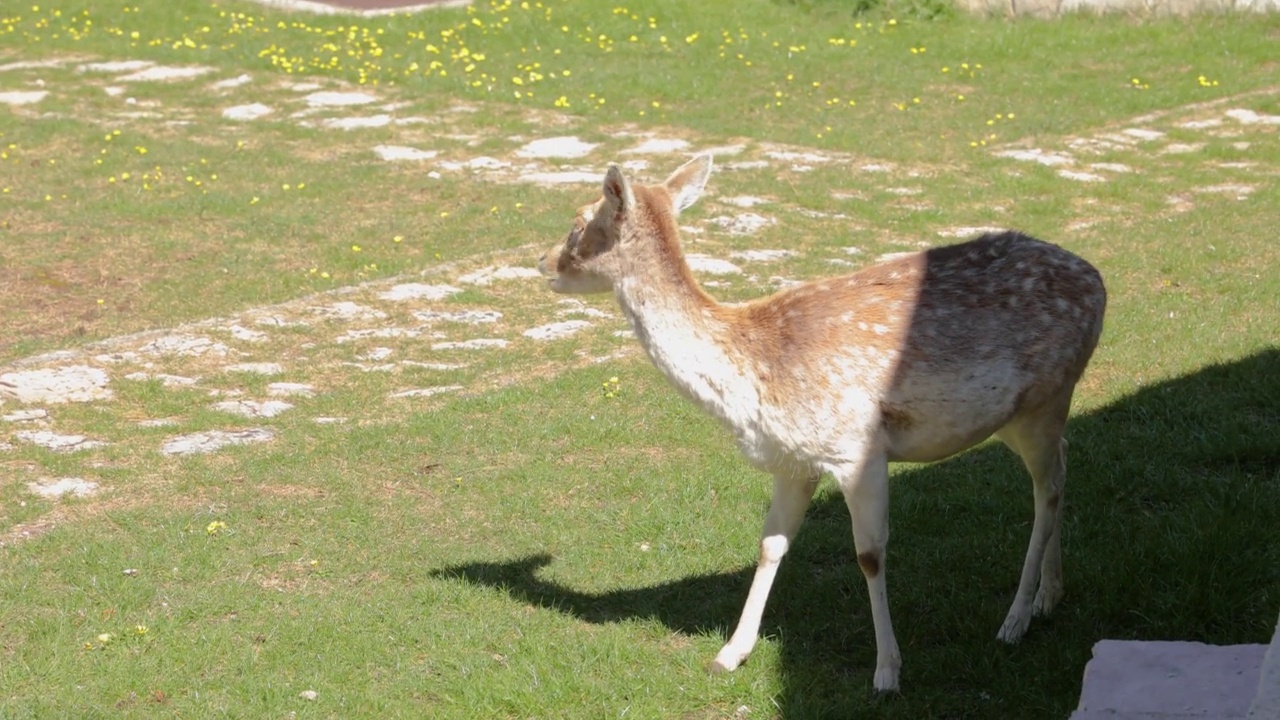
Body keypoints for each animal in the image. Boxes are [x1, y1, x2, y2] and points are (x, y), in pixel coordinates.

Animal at [535, 155, 1105, 691]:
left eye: (579, 220)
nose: (542, 260)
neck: (752, 375)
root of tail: (1098, 281)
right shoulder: (794, 462)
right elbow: (770, 546)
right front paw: (729, 653)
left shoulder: (856, 451)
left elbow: (869, 555)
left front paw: (887, 671)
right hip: (1020, 415)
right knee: (1061, 466)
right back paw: (1049, 596)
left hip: (1046, 397)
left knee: (1048, 488)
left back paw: (1015, 620)